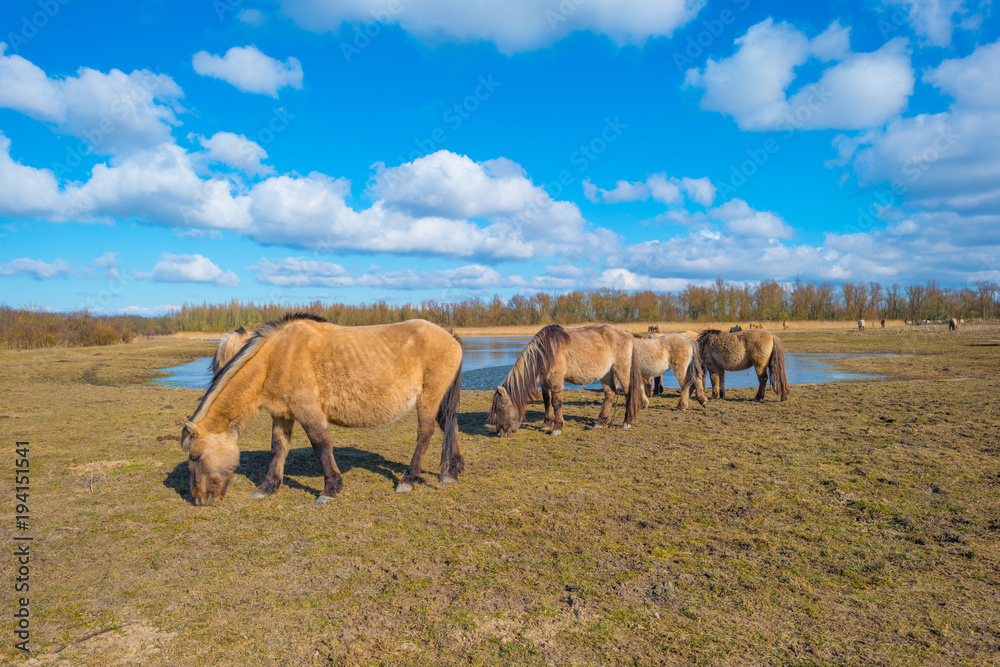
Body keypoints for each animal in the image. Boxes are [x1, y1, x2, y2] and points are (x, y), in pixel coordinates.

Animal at [181, 313, 464, 506]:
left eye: (195, 457)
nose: (198, 499)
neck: (278, 356)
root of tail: (450, 336)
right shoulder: (282, 414)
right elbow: (278, 448)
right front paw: (267, 487)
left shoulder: (308, 411)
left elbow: (321, 445)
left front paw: (330, 489)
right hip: (438, 399)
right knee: (451, 425)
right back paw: (453, 471)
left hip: (428, 397)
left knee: (425, 433)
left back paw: (408, 480)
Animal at [487, 324, 646, 437]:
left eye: (500, 408)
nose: (500, 432)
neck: (546, 351)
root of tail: (627, 334)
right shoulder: (544, 382)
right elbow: (546, 402)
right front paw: (546, 424)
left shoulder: (556, 381)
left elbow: (556, 403)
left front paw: (557, 428)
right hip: (606, 373)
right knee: (610, 393)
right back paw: (600, 422)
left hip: (622, 370)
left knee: (629, 393)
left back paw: (627, 422)